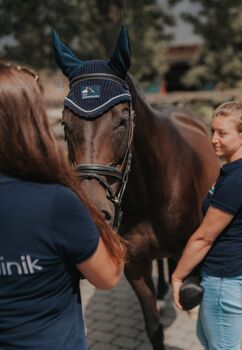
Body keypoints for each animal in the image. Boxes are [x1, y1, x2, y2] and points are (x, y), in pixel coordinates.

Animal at [52, 26, 220, 348]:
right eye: (65, 124)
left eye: (121, 120)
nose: (93, 210)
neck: (151, 193)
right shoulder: (135, 266)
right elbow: (153, 326)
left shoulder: (189, 247)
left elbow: (191, 293)